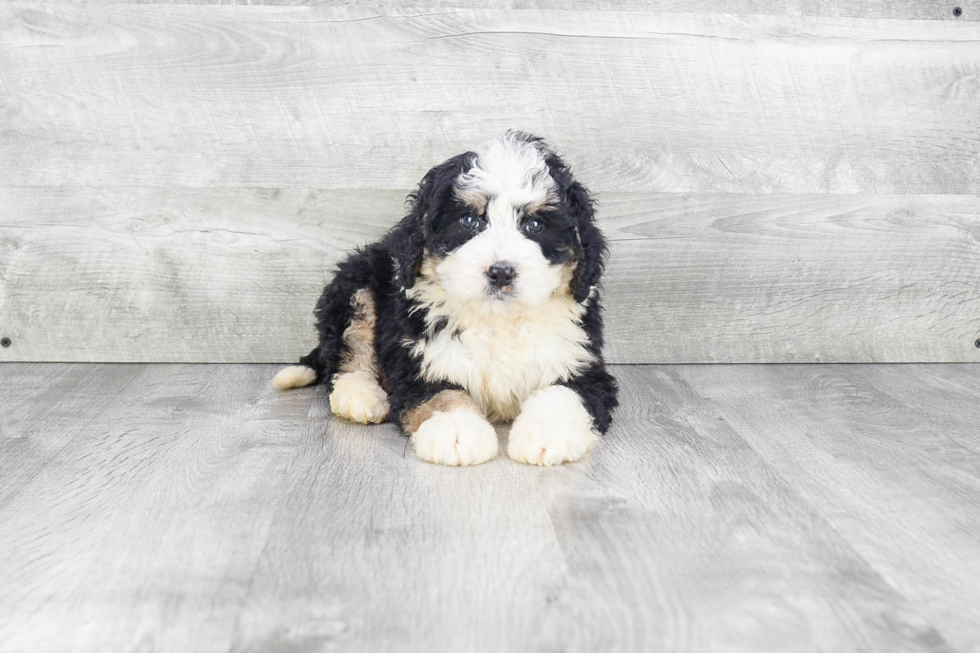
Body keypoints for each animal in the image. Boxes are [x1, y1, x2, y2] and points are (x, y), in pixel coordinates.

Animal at [272, 131, 616, 464]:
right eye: (469, 221)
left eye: (535, 224)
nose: (501, 272)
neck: (496, 321)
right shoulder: (417, 360)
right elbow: (443, 394)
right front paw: (456, 431)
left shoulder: (581, 361)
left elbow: (564, 393)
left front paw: (547, 435)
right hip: (357, 284)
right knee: (348, 350)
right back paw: (360, 395)